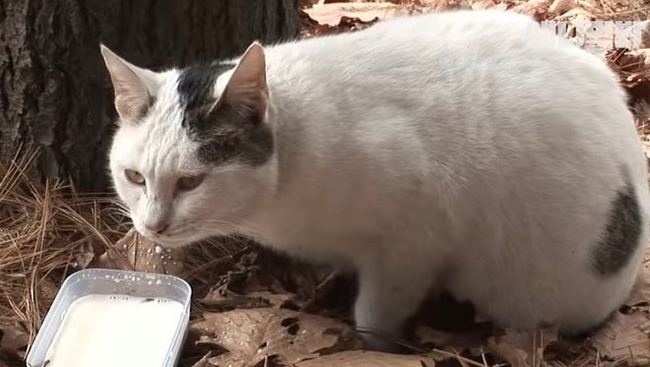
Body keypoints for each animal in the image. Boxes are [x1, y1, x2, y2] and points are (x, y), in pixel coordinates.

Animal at [101, 10, 648, 352]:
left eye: (191, 182)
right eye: (134, 177)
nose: (152, 226)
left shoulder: (414, 241)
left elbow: (375, 312)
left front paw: (375, 346)